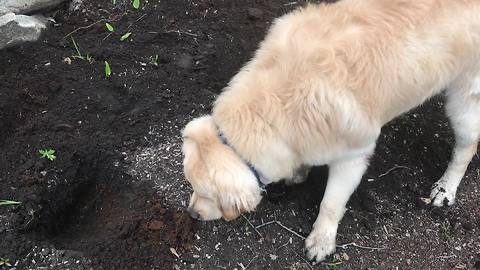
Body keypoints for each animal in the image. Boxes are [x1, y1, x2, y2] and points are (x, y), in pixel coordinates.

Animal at [181, 0, 480, 262]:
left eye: (206, 195)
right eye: (191, 186)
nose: (192, 214)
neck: (278, 102)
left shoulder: (353, 157)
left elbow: (331, 204)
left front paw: (322, 241)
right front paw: (299, 172)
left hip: (464, 101)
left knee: (466, 148)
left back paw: (445, 189)